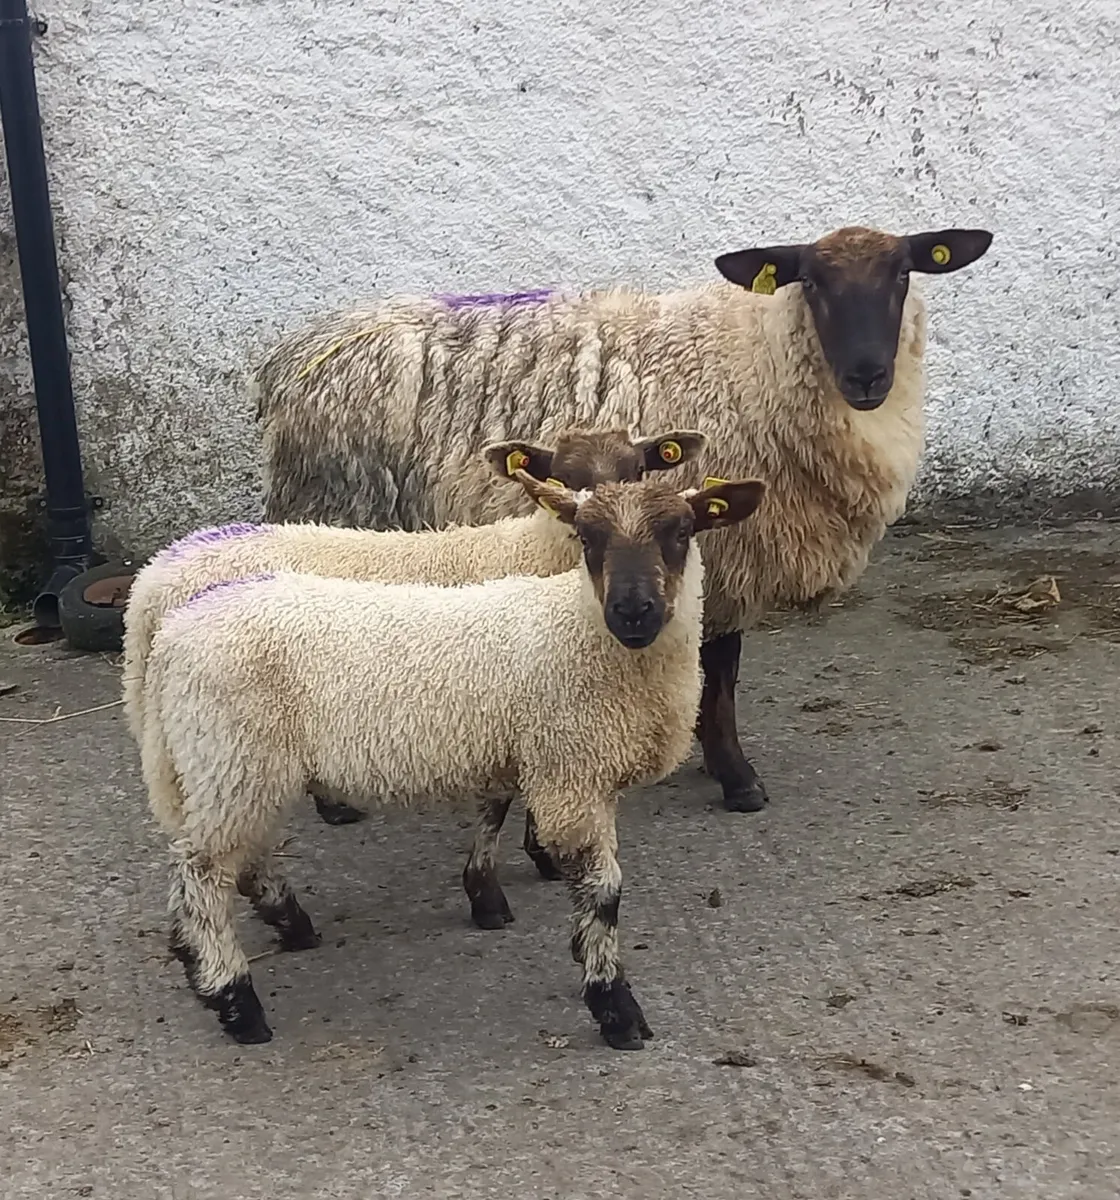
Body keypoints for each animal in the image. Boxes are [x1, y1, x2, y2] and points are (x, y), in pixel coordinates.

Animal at [141, 471, 767, 1049]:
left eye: (681, 532)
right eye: (588, 537)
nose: (633, 611)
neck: (579, 630)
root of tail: (173, 628)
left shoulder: (542, 757)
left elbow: (503, 817)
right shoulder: (570, 770)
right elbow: (604, 891)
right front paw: (614, 1007)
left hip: (234, 766)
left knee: (238, 859)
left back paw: (285, 930)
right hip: (232, 757)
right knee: (202, 873)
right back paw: (236, 1002)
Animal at [252, 223, 994, 839]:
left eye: (902, 274)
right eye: (811, 280)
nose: (868, 376)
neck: (753, 360)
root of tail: (292, 359)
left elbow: (716, 668)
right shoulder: (715, 549)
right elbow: (722, 668)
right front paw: (737, 777)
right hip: (336, 511)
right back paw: (335, 804)